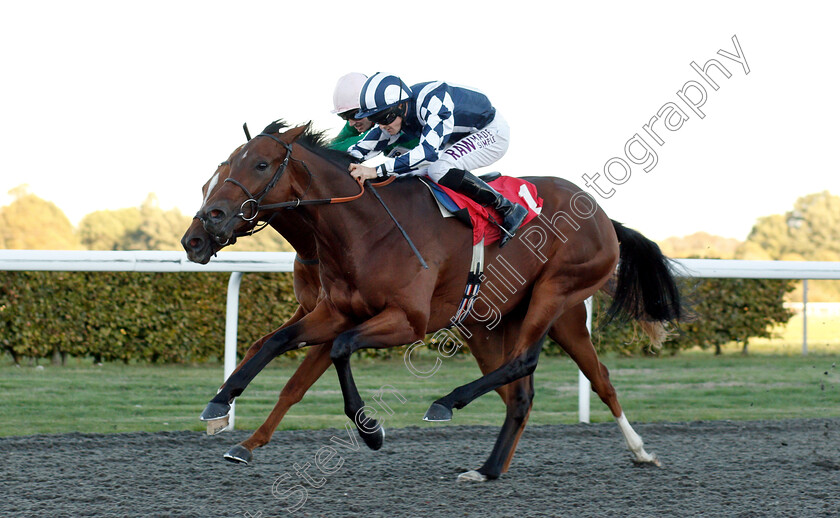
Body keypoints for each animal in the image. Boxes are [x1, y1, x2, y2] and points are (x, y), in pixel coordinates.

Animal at [187, 124, 680, 482]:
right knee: (543, 388)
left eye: (261, 164)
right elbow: (272, 344)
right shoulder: (333, 312)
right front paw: (219, 407)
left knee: (534, 366)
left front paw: (370, 430)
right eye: (221, 168)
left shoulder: (407, 320)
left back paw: (449, 404)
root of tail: (605, 218)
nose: (200, 232)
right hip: (512, 321)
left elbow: (338, 352)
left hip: (557, 293)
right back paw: (493, 468)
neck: (361, 227)